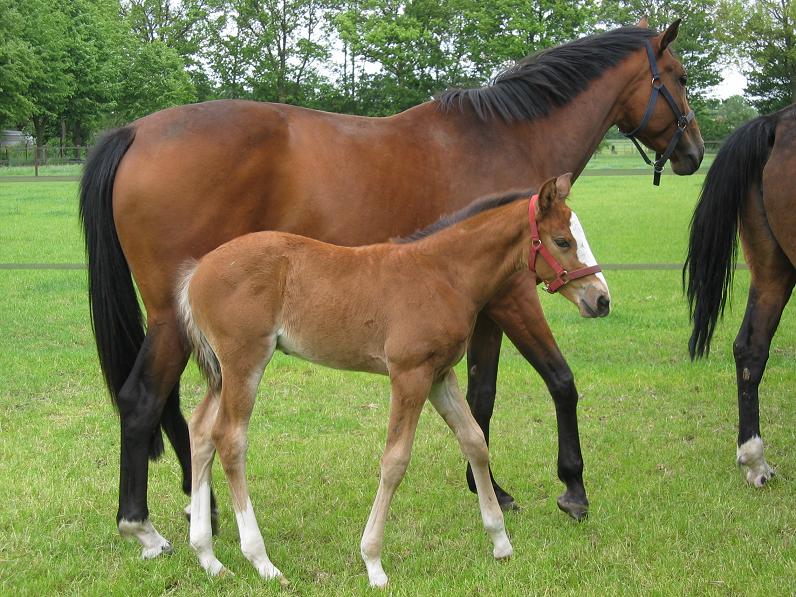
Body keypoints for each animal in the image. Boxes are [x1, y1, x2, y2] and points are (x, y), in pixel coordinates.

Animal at [177, 173, 608, 588]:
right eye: (562, 240)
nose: (601, 300)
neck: (442, 275)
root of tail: (196, 273)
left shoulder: (440, 375)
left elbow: (474, 441)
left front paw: (501, 542)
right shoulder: (409, 374)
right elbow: (395, 460)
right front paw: (373, 562)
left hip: (223, 372)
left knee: (200, 431)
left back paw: (208, 558)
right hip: (245, 362)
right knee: (230, 439)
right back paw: (262, 562)